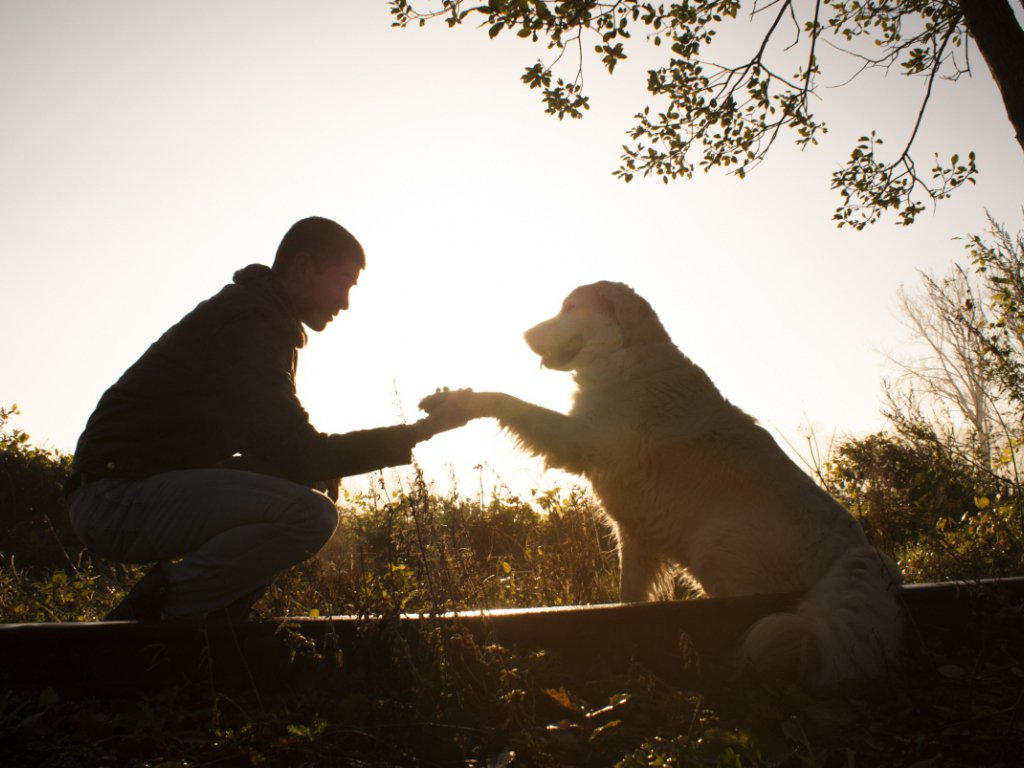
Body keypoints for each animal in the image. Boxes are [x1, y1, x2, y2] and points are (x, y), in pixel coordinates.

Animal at [419, 282, 901, 684]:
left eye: (570, 308)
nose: (523, 335)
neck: (626, 355)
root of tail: (855, 551)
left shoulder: (581, 437)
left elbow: (509, 400)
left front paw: (459, 401)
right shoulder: (636, 537)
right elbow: (629, 599)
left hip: (720, 547)